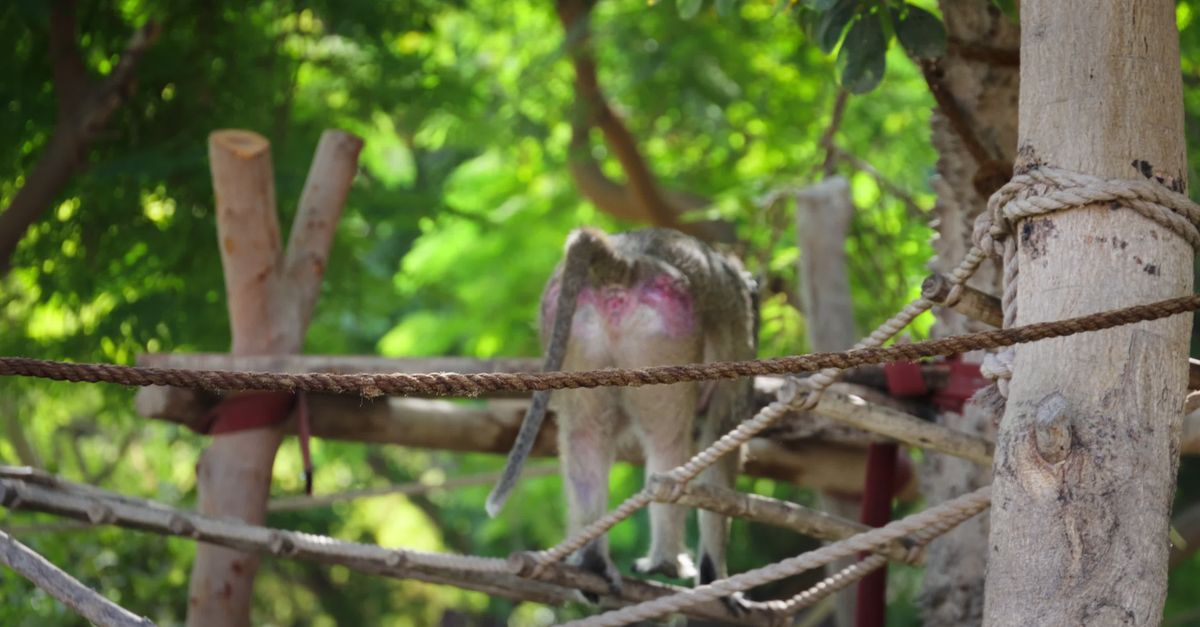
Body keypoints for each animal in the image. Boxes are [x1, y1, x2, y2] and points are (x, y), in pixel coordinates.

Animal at [486, 227, 757, 614]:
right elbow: (724, 437)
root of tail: (624, 263)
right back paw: (666, 563)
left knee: (586, 438)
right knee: (668, 441)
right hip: (666, 330)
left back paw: (592, 564)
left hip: (576, 333)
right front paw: (717, 579)